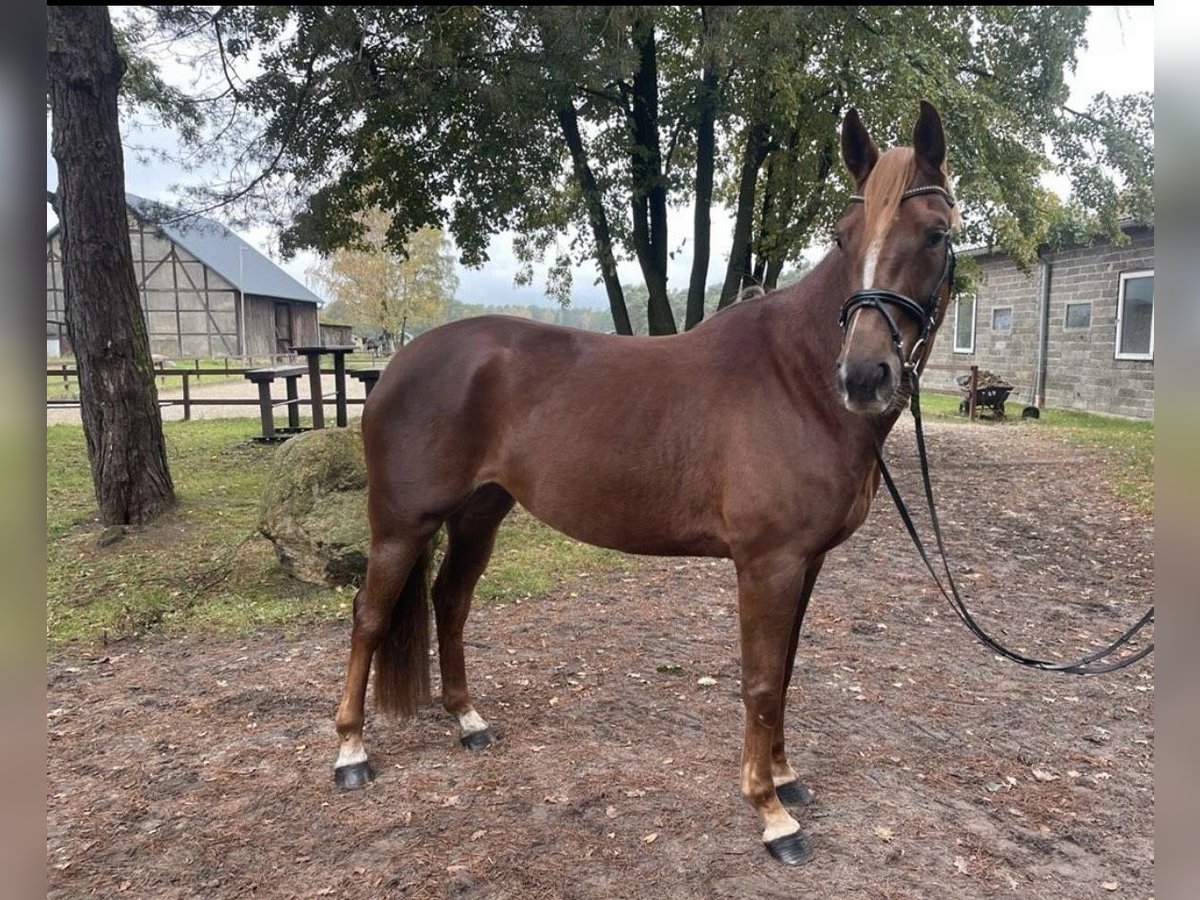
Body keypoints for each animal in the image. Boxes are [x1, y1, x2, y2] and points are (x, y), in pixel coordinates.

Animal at [333, 100, 960, 868]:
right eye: (845, 239)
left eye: (935, 234)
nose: (865, 375)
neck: (797, 380)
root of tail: (397, 363)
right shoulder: (769, 564)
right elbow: (759, 681)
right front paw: (770, 811)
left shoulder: (806, 564)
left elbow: (784, 670)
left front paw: (786, 775)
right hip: (401, 523)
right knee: (368, 618)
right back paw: (351, 754)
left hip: (479, 514)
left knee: (450, 603)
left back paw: (469, 722)